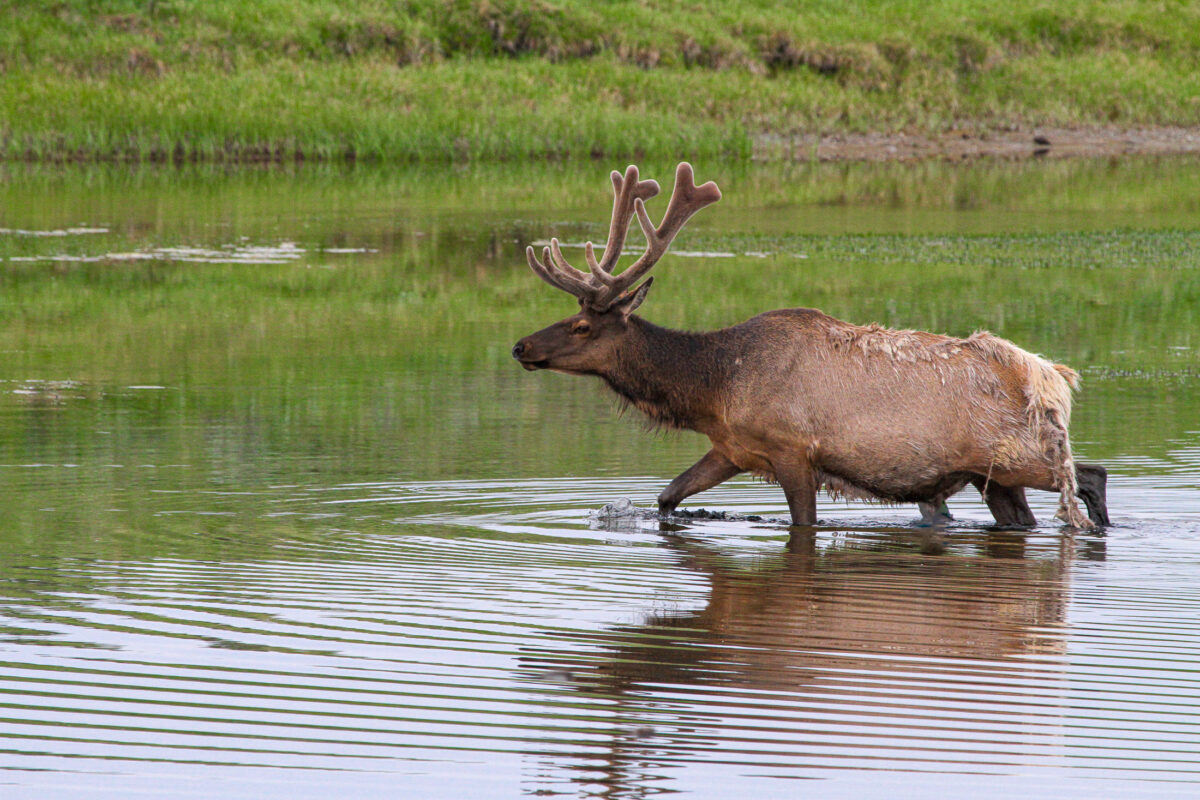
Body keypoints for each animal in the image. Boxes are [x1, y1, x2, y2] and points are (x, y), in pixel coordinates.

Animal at [511, 163, 1110, 531]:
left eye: (582, 326)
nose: (520, 346)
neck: (715, 388)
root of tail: (1052, 378)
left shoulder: (792, 448)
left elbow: (805, 523)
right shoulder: (733, 448)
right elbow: (668, 496)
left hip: (1016, 454)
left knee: (1088, 476)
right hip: (996, 478)